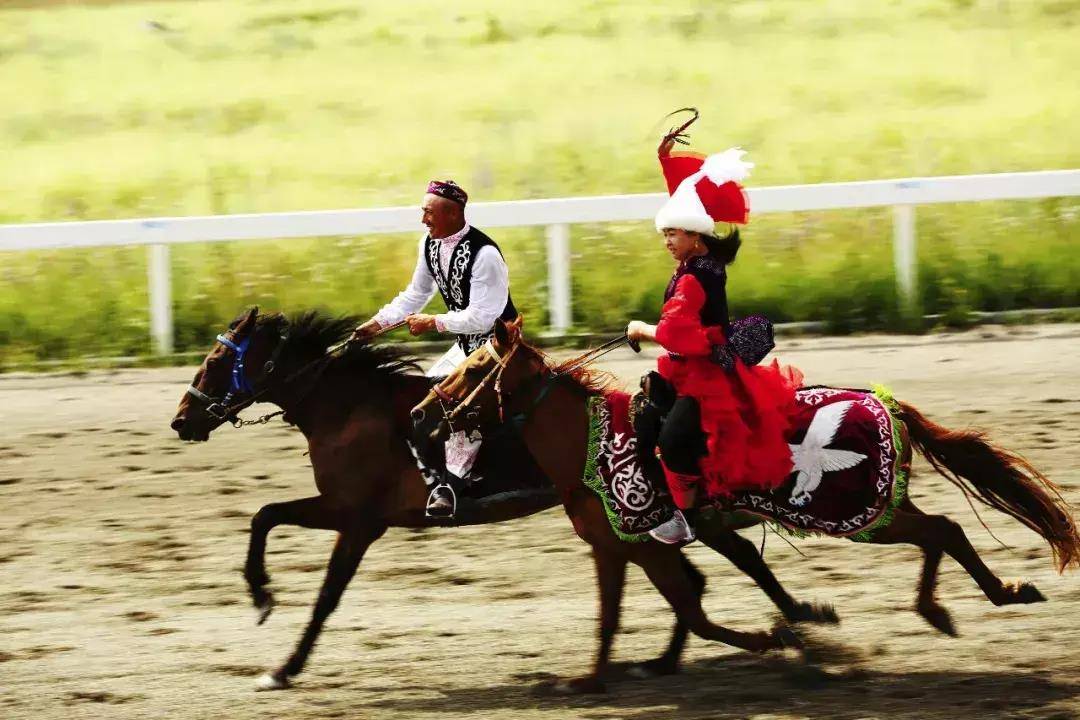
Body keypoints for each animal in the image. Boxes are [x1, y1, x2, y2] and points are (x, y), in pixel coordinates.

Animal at [172, 308, 820, 690]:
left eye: (215, 360)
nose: (181, 420)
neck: (350, 409)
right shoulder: (343, 511)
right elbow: (265, 516)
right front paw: (263, 604)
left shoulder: (355, 519)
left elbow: (319, 587)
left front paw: (281, 659)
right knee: (704, 572)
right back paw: (678, 655)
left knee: (741, 557)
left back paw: (800, 618)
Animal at [410, 317, 1080, 690]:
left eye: (473, 366)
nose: (420, 412)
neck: (587, 445)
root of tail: (885, 403)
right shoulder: (630, 548)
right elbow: (638, 613)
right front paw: (596, 678)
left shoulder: (639, 544)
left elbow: (687, 611)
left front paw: (775, 638)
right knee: (941, 531)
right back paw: (967, 602)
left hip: (861, 514)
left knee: (942, 530)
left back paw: (975, 600)